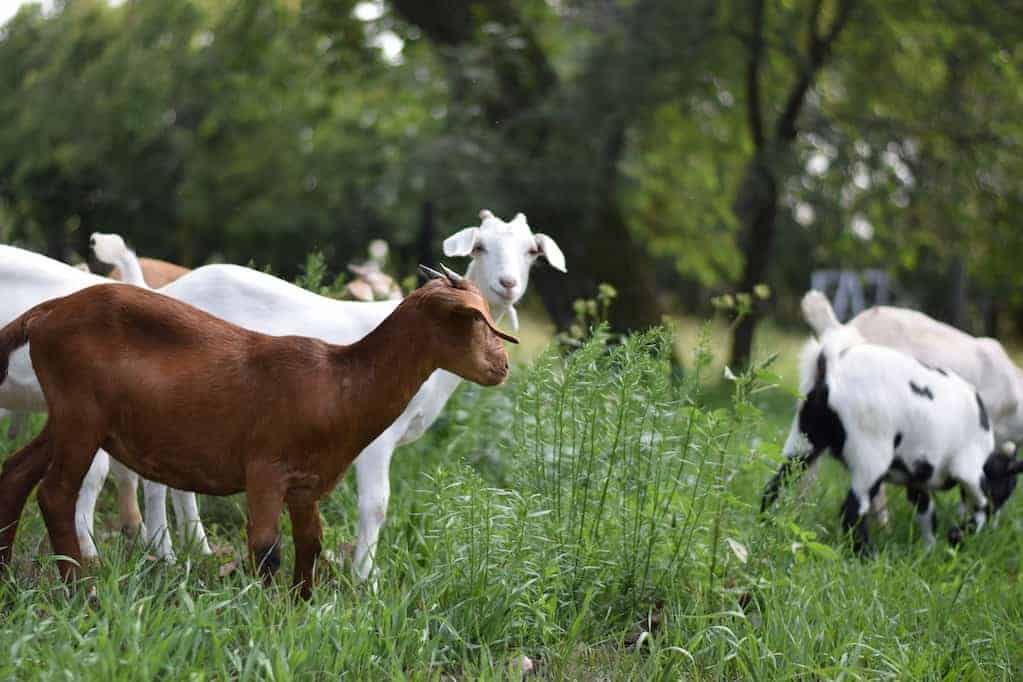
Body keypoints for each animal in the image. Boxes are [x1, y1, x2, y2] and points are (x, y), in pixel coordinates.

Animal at [0, 265, 515, 597]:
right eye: (473, 320)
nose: (503, 366)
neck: (339, 380)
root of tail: (43, 315)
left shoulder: (305, 484)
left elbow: (311, 543)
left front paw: (302, 607)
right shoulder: (265, 470)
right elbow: (267, 548)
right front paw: (268, 615)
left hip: (66, 416)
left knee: (16, 473)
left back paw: (7, 574)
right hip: (81, 418)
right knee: (55, 493)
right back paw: (79, 589)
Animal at [81, 209, 568, 580]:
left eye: (531, 252)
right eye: (480, 247)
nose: (507, 284)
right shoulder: (377, 437)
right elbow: (376, 506)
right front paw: (365, 579)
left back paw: (196, 549)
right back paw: (162, 552)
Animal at [761, 290, 1023, 552]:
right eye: (1007, 488)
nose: (994, 528)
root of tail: (831, 364)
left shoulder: (920, 475)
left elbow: (928, 513)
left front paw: (928, 550)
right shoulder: (968, 467)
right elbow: (978, 503)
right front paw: (957, 538)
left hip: (804, 441)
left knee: (778, 484)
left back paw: (770, 523)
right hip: (870, 455)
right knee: (851, 508)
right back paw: (867, 551)